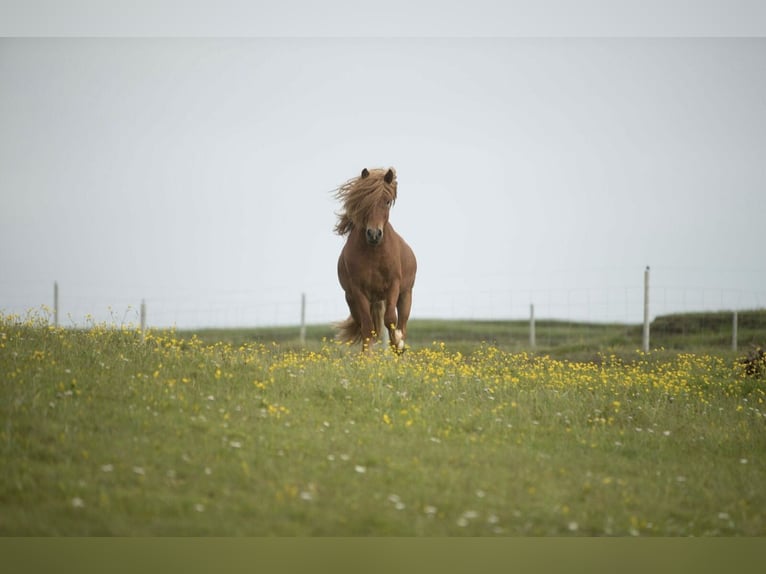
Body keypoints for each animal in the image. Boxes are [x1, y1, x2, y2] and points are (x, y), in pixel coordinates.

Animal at [334, 167, 417, 352]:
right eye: (364, 201)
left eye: (387, 202)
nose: (374, 234)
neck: (373, 254)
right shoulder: (358, 291)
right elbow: (367, 327)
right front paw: (367, 357)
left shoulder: (393, 285)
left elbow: (391, 319)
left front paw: (397, 343)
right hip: (354, 301)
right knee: (366, 326)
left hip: (405, 295)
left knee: (402, 324)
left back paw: (400, 347)